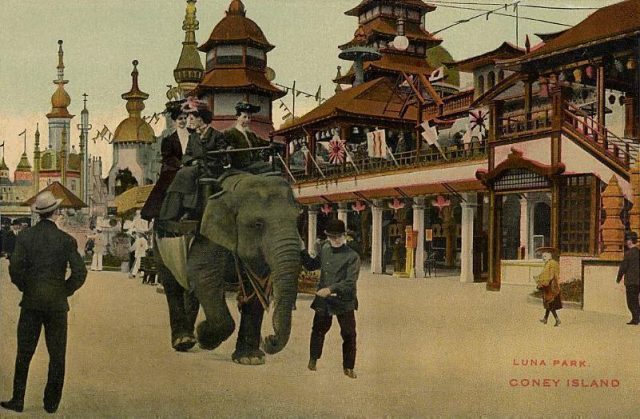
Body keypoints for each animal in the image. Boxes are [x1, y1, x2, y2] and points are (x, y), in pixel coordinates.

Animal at [181, 171, 302, 364]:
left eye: (297, 219)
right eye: (258, 224)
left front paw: (250, 359)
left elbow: (258, 289)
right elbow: (203, 275)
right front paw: (204, 338)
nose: (268, 339)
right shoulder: (208, 231)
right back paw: (185, 340)